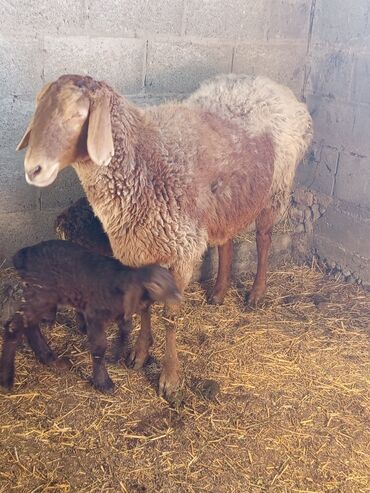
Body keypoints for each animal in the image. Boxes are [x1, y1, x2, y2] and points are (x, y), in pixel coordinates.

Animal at [16, 72, 312, 396]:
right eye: (38, 110)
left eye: (77, 114)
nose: (34, 169)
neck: (144, 161)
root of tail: (265, 82)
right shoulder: (138, 251)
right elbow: (143, 306)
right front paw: (139, 355)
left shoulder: (181, 252)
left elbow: (170, 316)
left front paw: (170, 379)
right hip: (225, 204)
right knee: (227, 242)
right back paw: (219, 292)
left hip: (275, 188)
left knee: (264, 238)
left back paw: (256, 293)